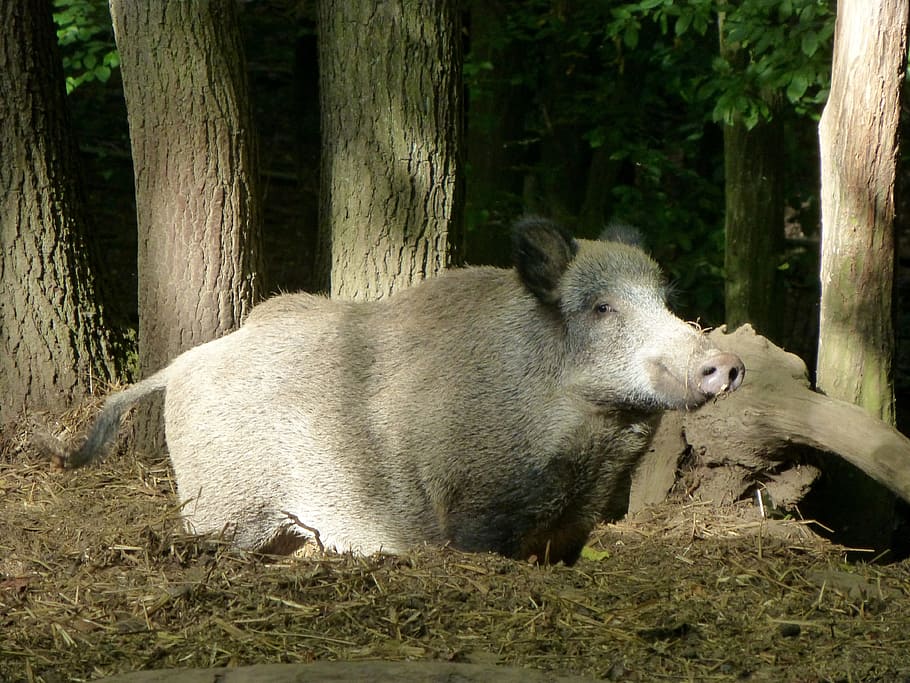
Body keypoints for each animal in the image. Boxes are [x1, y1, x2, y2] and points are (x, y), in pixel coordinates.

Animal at [59, 216, 744, 564]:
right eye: (602, 307)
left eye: (664, 298)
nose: (728, 364)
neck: (594, 436)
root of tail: (182, 365)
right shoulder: (476, 499)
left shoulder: (579, 517)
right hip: (226, 502)